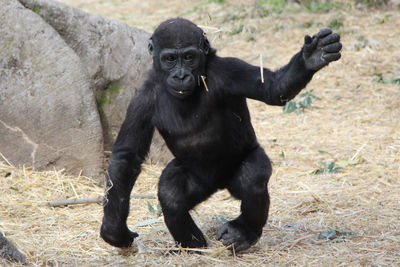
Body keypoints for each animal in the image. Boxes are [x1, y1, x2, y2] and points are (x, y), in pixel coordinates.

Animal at [100, 17, 340, 253]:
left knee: (252, 177)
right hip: (200, 181)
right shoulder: (141, 100)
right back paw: (193, 245)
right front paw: (114, 229)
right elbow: (127, 156)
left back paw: (243, 233)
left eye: (189, 57)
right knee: (171, 193)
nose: (180, 75)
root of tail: (219, 185)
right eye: (170, 59)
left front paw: (311, 58)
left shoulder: (227, 70)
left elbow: (274, 88)